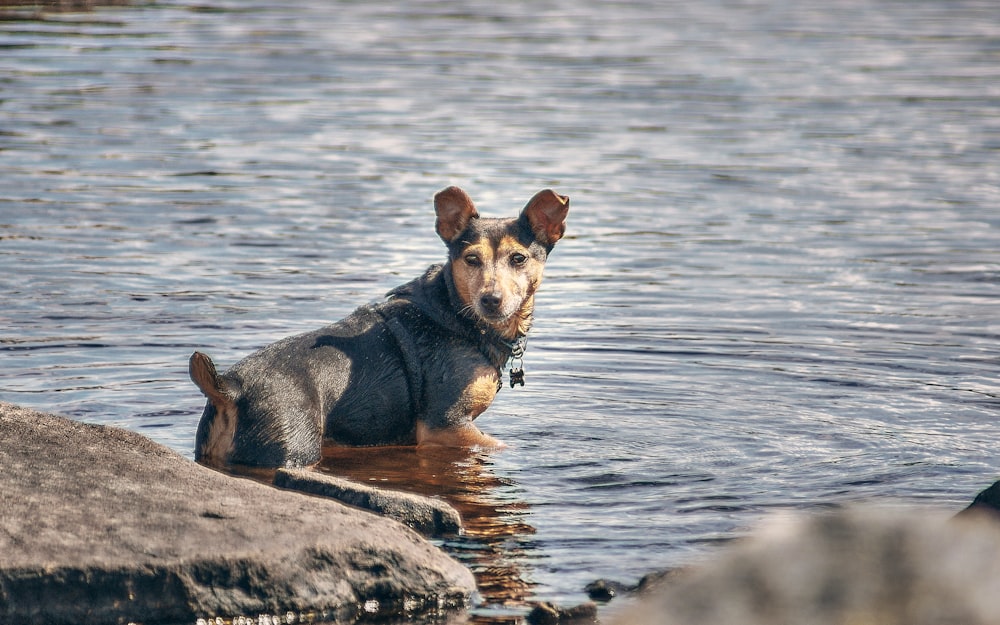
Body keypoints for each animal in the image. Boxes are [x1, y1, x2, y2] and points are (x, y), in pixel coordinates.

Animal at [191, 186, 568, 468]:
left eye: (518, 258)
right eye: (471, 259)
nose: (490, 300)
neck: (457, 314)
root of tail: (228, 388)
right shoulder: (445, 426)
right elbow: (504, 446)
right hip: (291, 449)